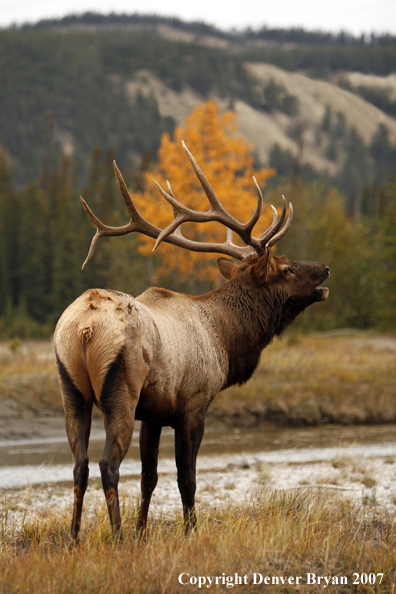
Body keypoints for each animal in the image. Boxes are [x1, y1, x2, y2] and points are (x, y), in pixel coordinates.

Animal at [54, 141, 330, 540]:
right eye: (287, 268)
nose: (325, 268)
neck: (226, 339)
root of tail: (85, 327)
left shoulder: (153, 413)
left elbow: (150, 477)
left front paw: (142, 532)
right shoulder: (194, 406)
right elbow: (187, 478)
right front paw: (190, 531)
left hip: (71, 387)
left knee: (80, 464)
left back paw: (75, 538)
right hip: (121, 388)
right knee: (108, 464)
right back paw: (117, 538)